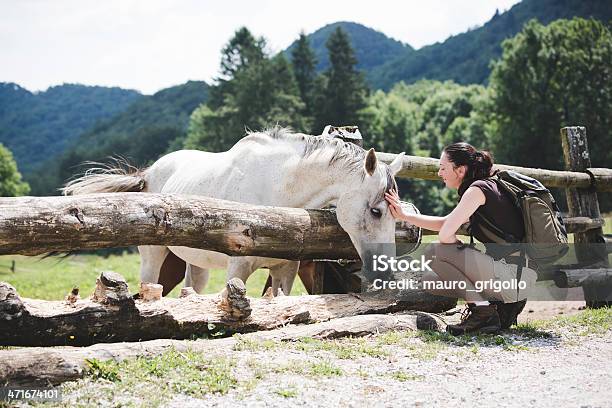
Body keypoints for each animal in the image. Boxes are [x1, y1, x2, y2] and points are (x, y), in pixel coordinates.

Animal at [63, 127, 406, 296]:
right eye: (376, 211)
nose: (385, 273)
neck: (277, 192)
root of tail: (147, 174)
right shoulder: (238, 269)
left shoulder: (284, 271)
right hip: (153, 255)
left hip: (195, 263)